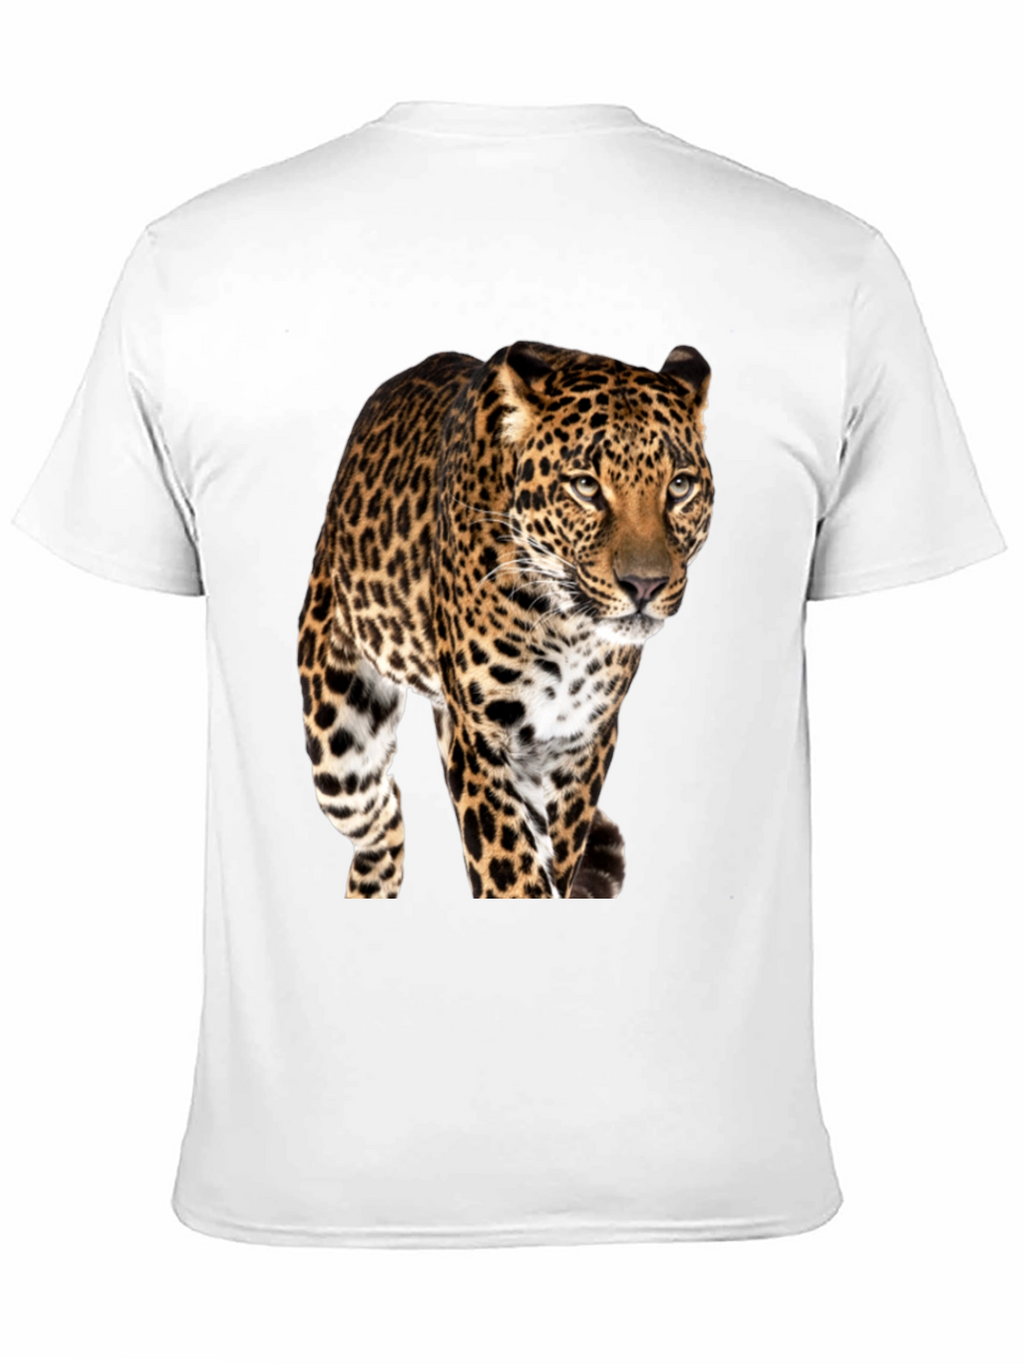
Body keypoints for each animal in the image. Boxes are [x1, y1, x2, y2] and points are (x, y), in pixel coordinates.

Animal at [297, 340, 714, 899]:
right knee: (382, 824)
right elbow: (509, 868)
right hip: (340, 747)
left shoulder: (582, 742)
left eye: (680, 486)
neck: (569, 629)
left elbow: (558, 856)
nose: (644, 586)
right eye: (586, 487)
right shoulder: (480, 738)